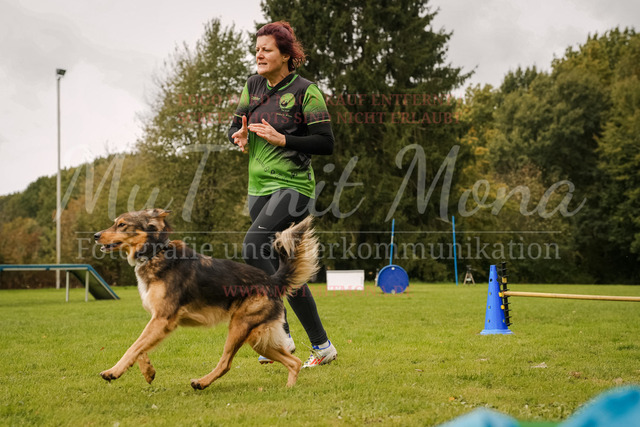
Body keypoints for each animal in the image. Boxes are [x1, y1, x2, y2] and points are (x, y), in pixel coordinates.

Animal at [94, 208, 318, 389]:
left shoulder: (162, 319)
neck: (155, 253)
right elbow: (140, 347)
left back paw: (201, 383)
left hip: (239, 327)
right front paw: (148, 371)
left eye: (122, 224)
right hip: (257, 339)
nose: (95, 235)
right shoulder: (158, 321)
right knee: (294, 361)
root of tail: (271, 280)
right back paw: (289, 388)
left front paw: (113, 371)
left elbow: (133, 347)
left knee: (226, 363)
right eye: (115, 222)